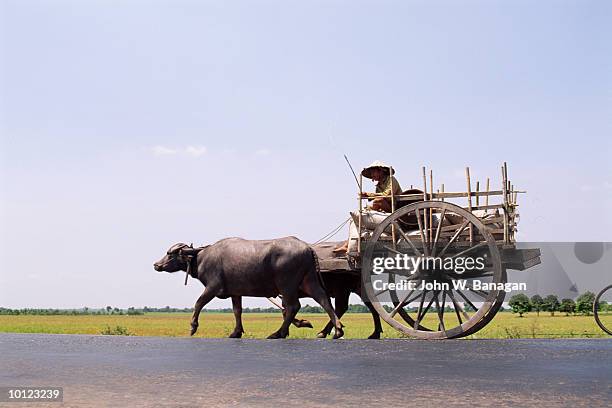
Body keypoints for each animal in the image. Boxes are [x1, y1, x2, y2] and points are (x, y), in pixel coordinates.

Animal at [154, 236, 344, 338]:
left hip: (287, 284)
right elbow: (237, 311)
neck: (201, 258)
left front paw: (193, 327)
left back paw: (278, 333)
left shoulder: (213, 287)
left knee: (292, 306)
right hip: (309, 280)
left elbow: (198, 303)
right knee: (324, 300)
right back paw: (337, 330)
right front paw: (236, 332)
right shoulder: (235, 292)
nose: (156, 265)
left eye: (170, 254)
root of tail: (307, 248)